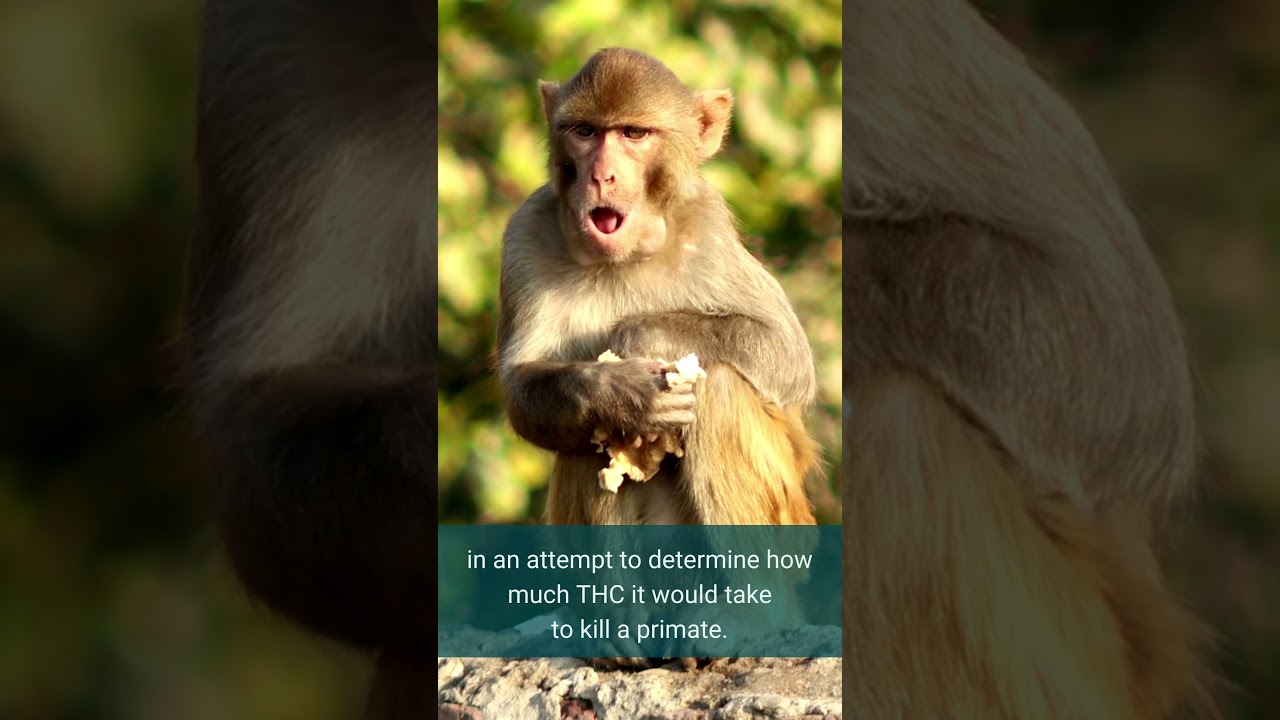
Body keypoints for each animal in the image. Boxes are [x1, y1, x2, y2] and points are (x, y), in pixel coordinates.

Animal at [495, 48, 821, 668]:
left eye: (634, 134)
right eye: (584, 132)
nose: (601, 175)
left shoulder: (709, 225)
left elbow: (786, 357)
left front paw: (638, 338)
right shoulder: (523, 234)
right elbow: (525, 390)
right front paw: (619, 393)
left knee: (720, 388)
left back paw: (745, 615)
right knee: (583, 437)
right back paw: (612, 623)